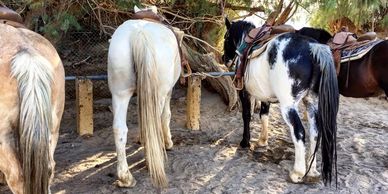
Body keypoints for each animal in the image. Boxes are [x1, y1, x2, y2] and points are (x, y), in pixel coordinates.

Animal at [107, 6, 182, 188]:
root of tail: (139, 34)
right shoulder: (168, 92)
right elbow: (166, 116)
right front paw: (168, 142)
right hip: (159, 93)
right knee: (154, 122)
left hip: (120, 93)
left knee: (119, 128)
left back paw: (125, 177)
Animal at [224, 18, 340, 185]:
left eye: (226, 37)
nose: (224, 59)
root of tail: (314, 47)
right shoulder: (264, 96)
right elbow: (264, 116)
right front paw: (262, 141)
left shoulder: (244, 92)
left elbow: (246, 115)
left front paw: (245, 142)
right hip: (311, 103)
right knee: (315, 133)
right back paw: (312, 172)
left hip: (288, 106)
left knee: (299, 131)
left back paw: (297, 173)